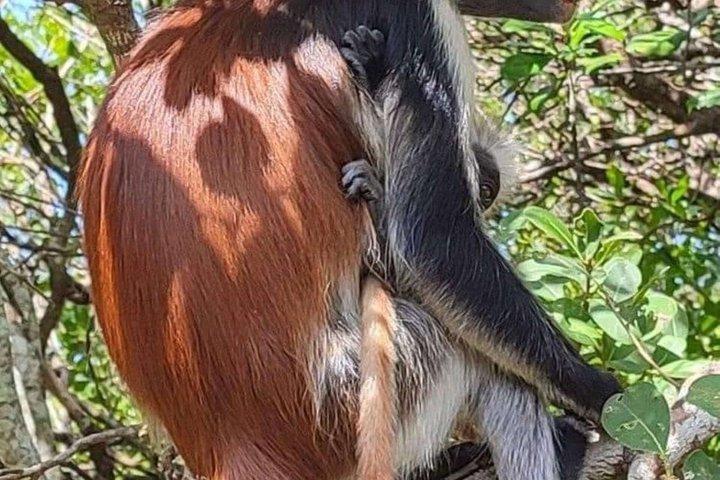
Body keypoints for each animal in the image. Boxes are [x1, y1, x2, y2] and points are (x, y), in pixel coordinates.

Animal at [77, 1, 620, 480]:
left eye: (489, 187)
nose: (486, 186)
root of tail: (230, 438)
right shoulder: (419, 18)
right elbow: (432, 245)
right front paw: (600, 392)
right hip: (364, 393)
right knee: (494, 368)